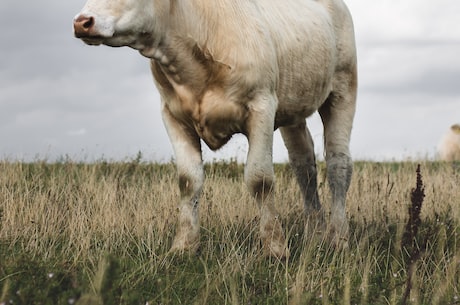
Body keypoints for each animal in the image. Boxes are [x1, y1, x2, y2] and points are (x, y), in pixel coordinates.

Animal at [73, 0, 358, 256]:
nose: (81, 22)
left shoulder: (262, 106)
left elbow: (260, 179)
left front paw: (275, 248)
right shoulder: (172, 116)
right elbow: (188, 180)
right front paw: (183, 246)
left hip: (343, 88)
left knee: (338, 163)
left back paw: (339, 238)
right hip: (293, 109)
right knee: (304, 165)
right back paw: (316, 235)